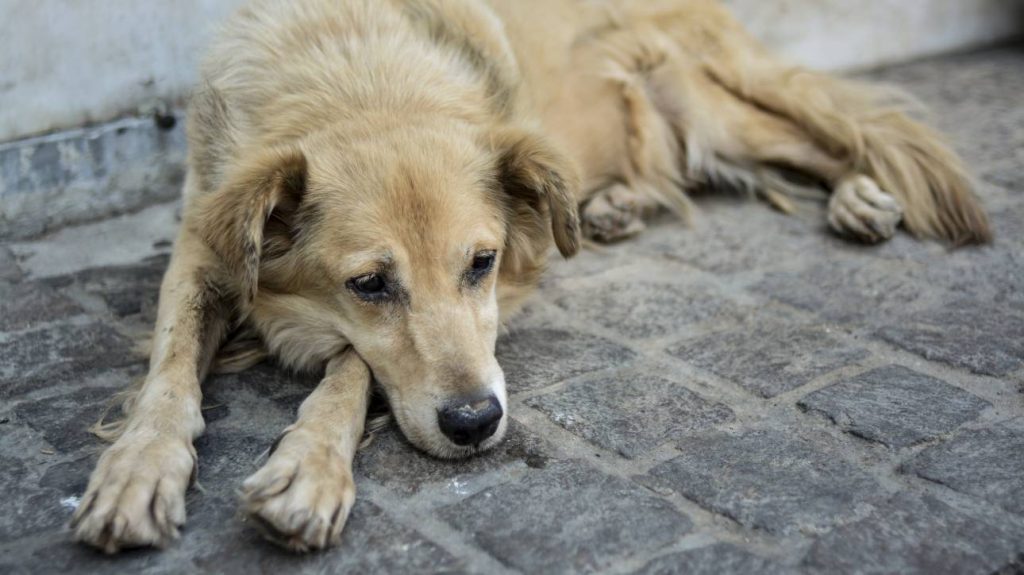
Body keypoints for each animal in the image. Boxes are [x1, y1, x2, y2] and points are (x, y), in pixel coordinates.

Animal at [70, 0, 983, 556]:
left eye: (480, 263)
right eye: (369, 284)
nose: (476, 423)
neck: (354, 74)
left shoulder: (510, 285)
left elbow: (354, 366)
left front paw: (309, 466)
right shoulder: (201, 242)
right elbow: (171, 369)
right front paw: (139, 467)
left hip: (713, 107)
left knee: (834, 141)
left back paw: (862, 195)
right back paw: (614, 205)